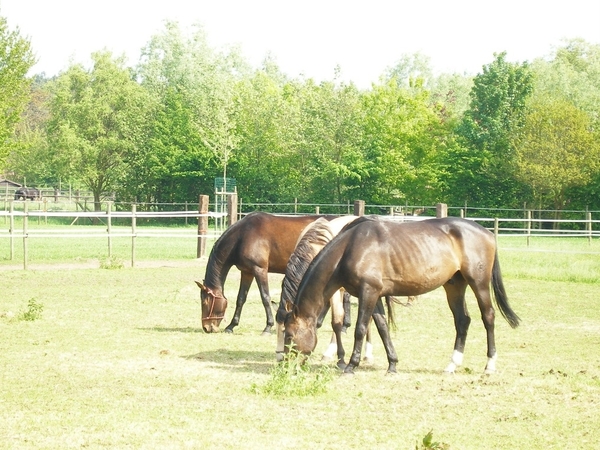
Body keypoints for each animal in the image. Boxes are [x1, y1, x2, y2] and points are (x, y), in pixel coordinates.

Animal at [195, 211, 332, 334]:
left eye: (205, 302)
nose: (206, 328)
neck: (242, 235)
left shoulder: (259, 270)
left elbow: (265, 297)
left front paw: (268, 326)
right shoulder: (247, 272)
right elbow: (241, 298)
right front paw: (231, 326)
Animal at [284, 216, 516, 374]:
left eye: (289, 335)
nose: (285, 365)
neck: (349, 248)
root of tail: (488, 233)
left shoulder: (368, 292)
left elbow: (360, 329)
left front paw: (351, 364)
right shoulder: (375, 295)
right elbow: (382, 328)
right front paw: (392, 364)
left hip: (479, 283)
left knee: (488, 317)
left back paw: (489, 364)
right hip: (454, 286)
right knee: (462, 320)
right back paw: (452, 364)